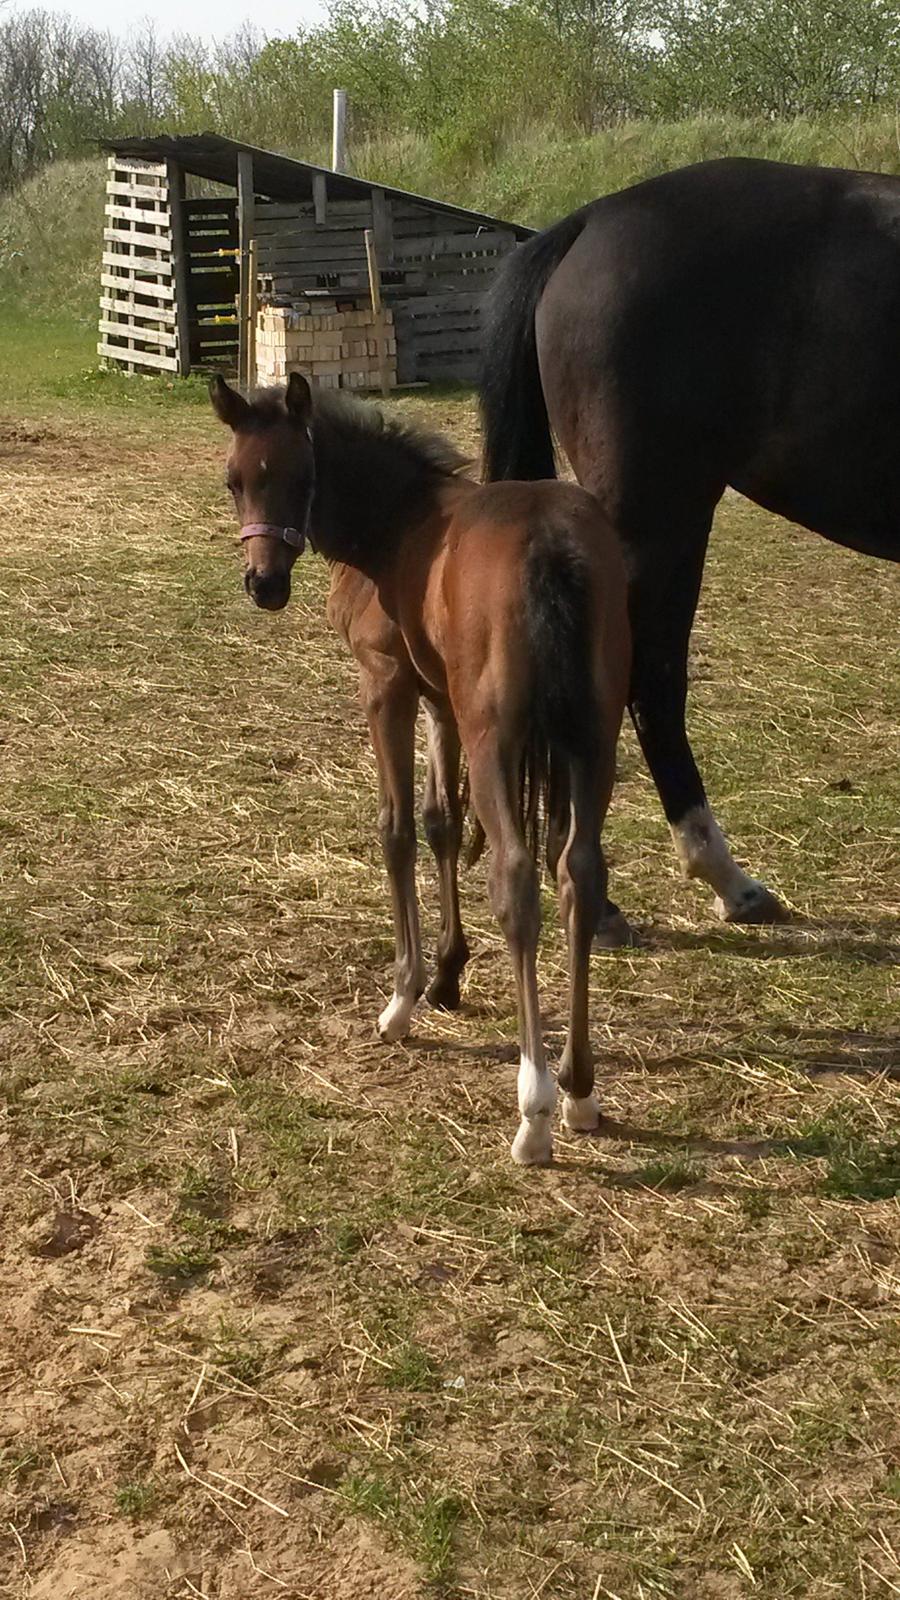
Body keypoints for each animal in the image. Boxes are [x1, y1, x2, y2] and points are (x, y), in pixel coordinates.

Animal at [212, 374, 627, 1164]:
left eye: (303, 477)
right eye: (235, 481)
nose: (263, 584)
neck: (396, 524)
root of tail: (554, 549)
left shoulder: (387, 685)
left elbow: (398, 829)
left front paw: (404, 997)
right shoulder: (441, 703)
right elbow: (442, 823)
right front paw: (448, 972)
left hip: (499, 736)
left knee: (517, 880)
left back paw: (535, 1109)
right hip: (596, 736)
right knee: (579, 875)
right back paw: (580, 1089)